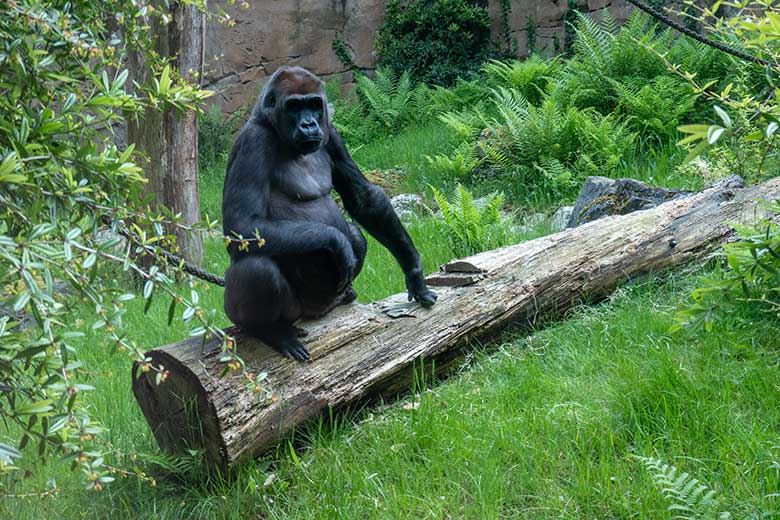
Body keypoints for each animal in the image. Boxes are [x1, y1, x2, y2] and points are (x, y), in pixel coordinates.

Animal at [222, 66, 436, 362]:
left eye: (314, 104)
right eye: (294, 106)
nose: (309, 125)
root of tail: (316, 311)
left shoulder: (332, 135)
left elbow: (365, 199)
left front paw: (413, 270)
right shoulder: (252, 142)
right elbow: (242, 227)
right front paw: (336, 242)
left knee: (356, 232)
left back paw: (345, 295)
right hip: (289, 311)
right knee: (257, 268)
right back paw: (269, 330)